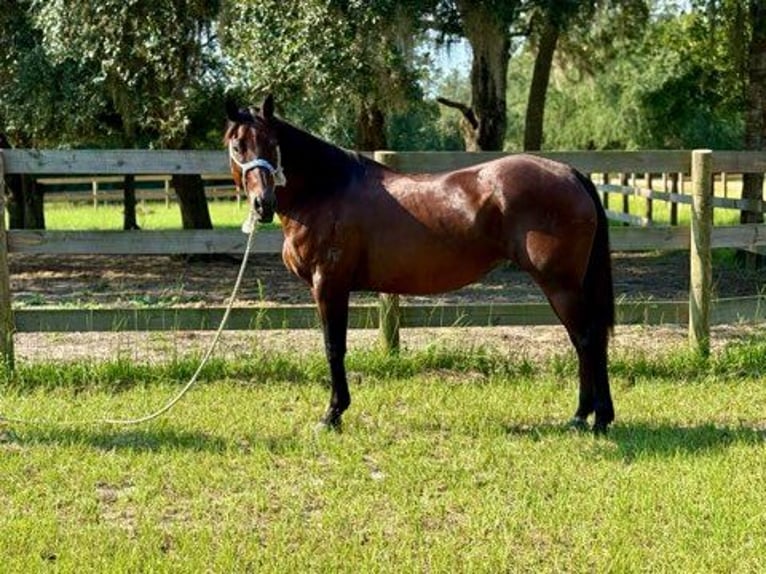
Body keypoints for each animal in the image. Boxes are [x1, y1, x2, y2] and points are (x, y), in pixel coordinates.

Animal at [225, 94, 616, 433]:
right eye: (237, 145)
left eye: (272, 143)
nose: (263, 204)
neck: (326, 189)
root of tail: (568, 172)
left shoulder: (329, 285)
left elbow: (334, 347)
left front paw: (332, 415)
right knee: (585, 340)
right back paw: (585, 416)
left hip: (560, 284)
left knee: (587, 338)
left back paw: (595, 418)